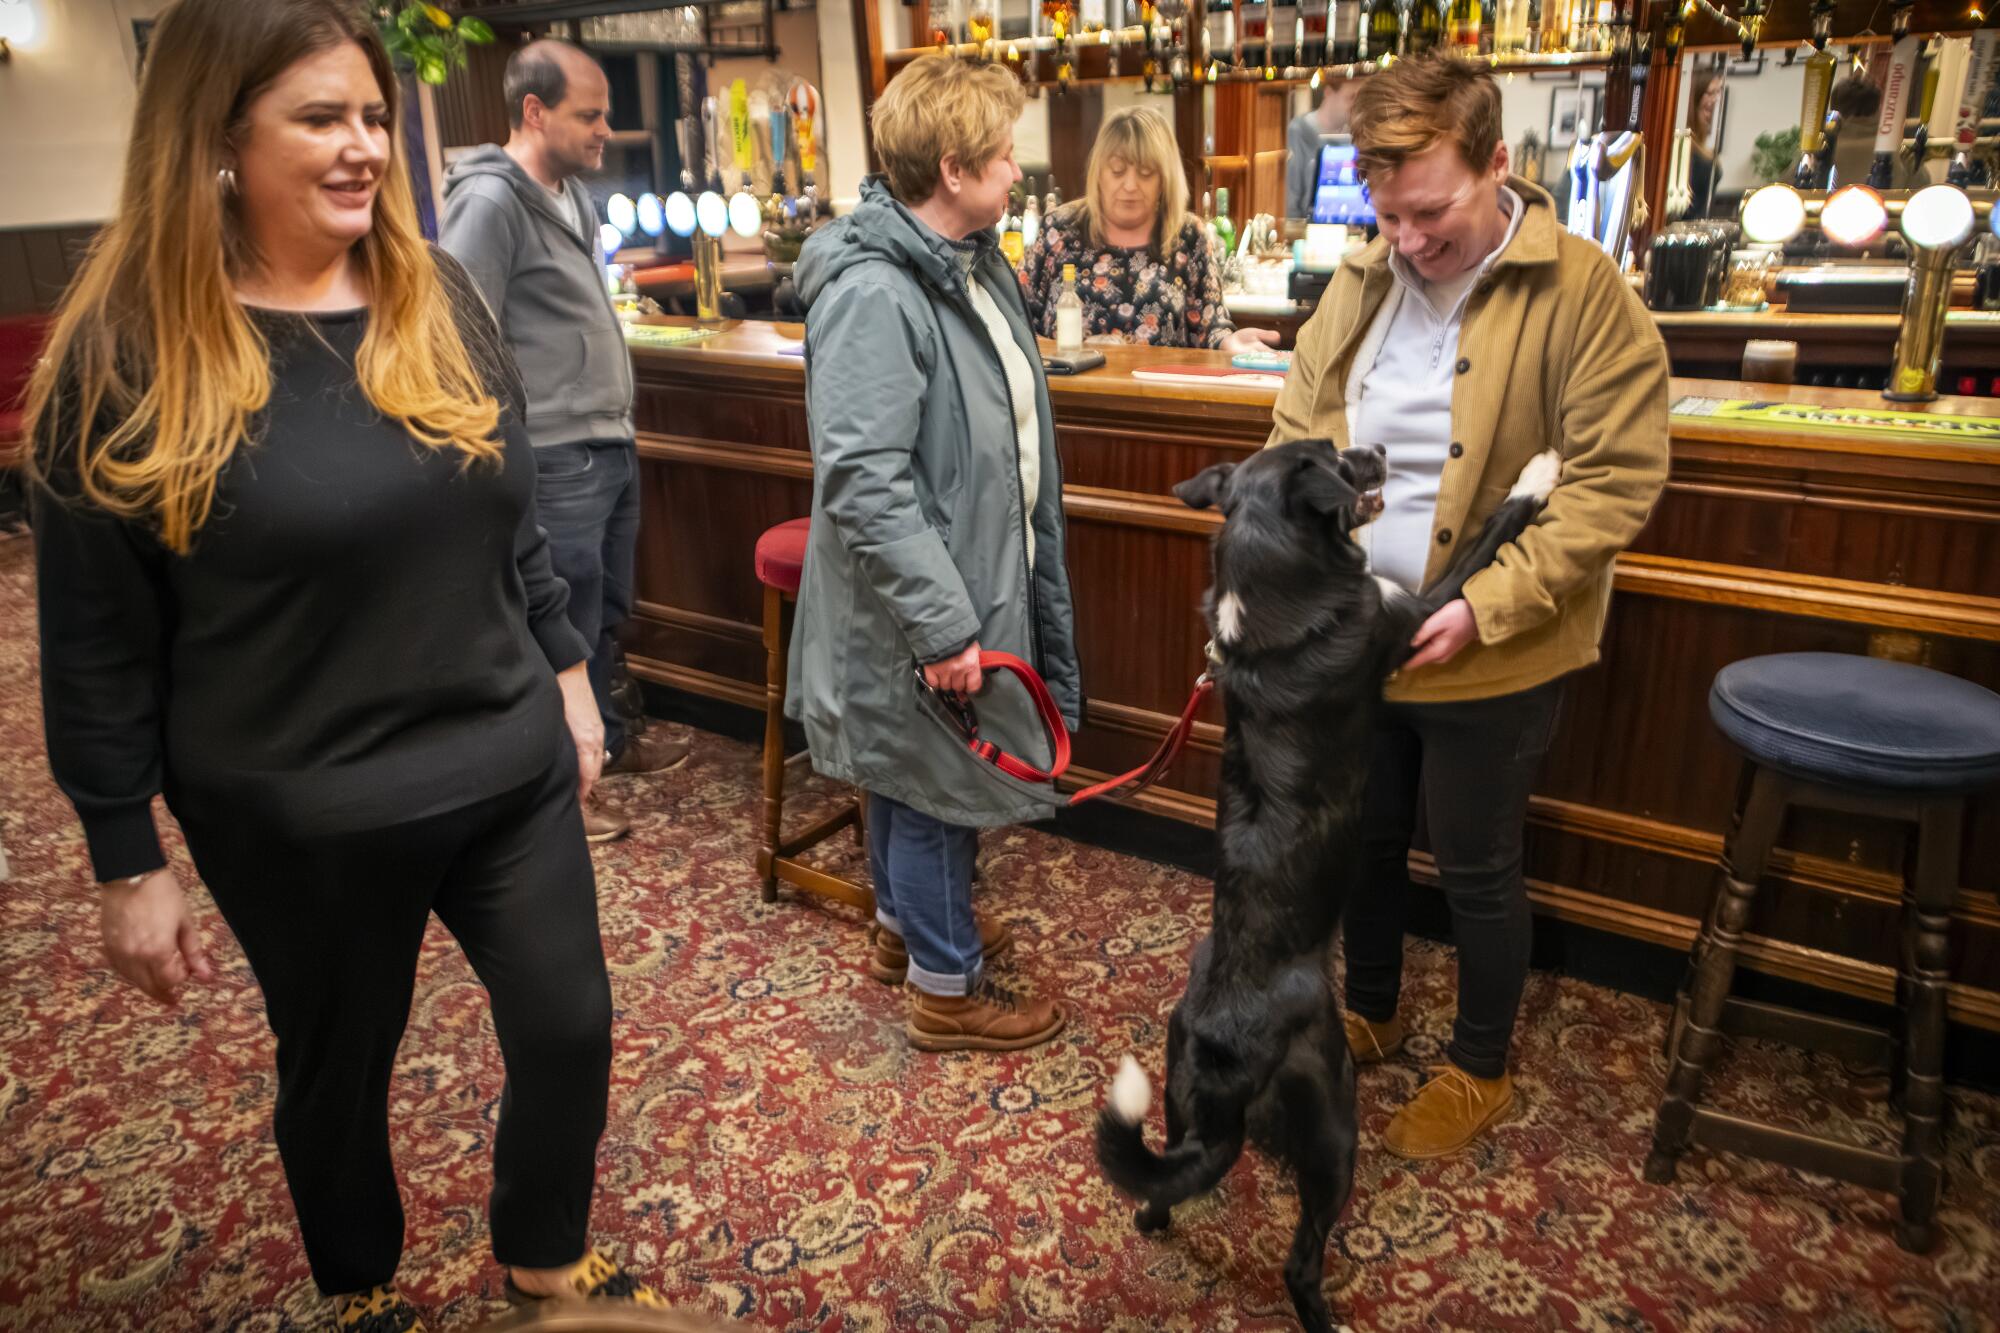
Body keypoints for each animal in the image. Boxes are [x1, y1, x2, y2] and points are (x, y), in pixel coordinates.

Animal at [1104, 438, 1552, 1328]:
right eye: (1335, 463)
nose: (1374, 448)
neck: (1271, 597)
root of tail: (1224, 1054)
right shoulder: (1418, 613)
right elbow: (1490, 535)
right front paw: (1538, 475)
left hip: (1177, 1099)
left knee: (1157, 1194)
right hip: (1333, 1122)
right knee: (1300, 1260)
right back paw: (1326, 1310)